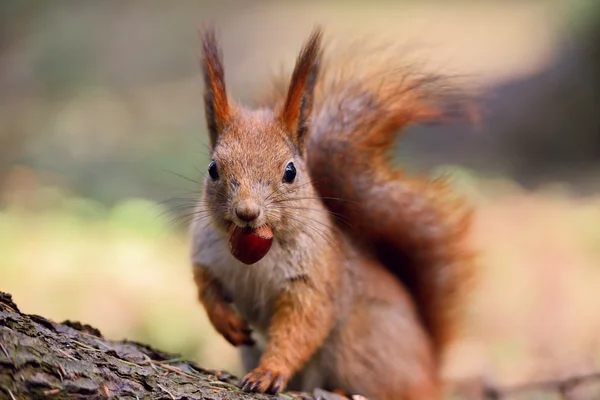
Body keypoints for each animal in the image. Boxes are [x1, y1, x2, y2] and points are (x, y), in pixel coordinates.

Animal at [190, 26, 476, 398]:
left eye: (291, 172)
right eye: (213, 169)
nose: (247, 213)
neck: (257, 251)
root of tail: (430, 371)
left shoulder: (315, 280)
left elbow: (300, 327)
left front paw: (269, 371)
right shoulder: (205, 254)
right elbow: (205, 288)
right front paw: (225, 322)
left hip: (358, 345)